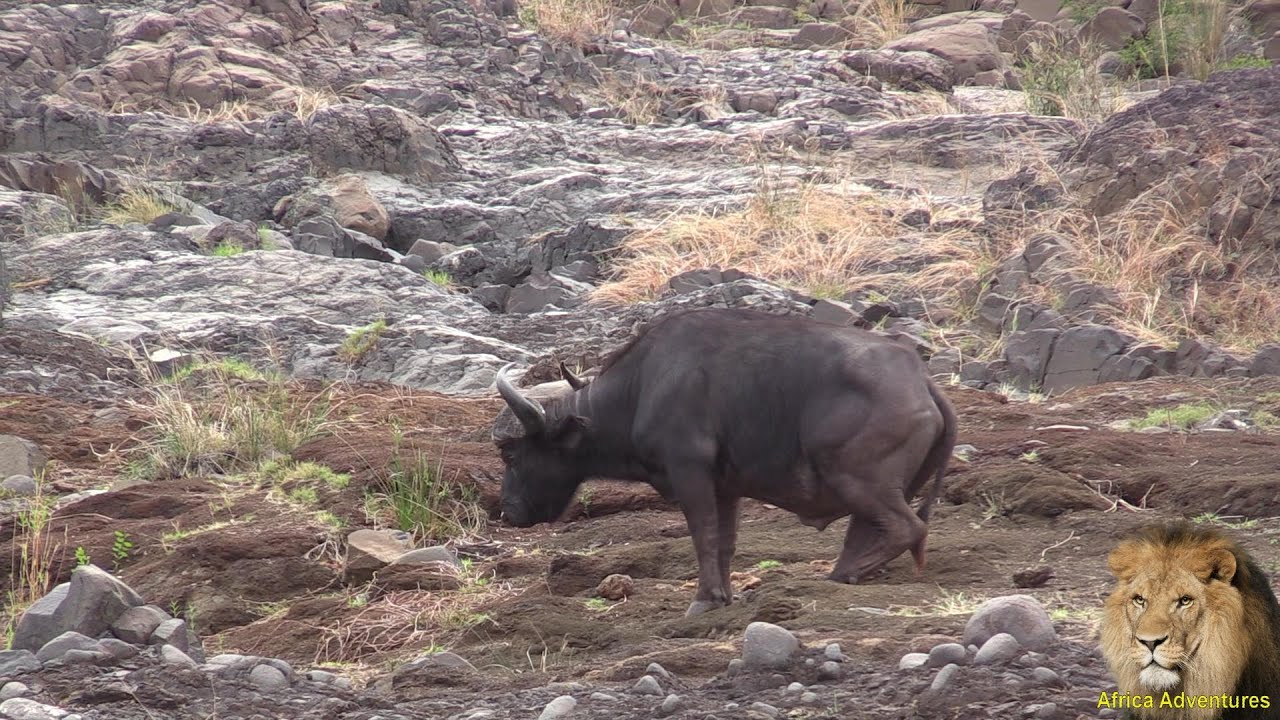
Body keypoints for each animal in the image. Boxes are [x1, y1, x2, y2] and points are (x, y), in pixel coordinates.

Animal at [492, 307, 958, 617]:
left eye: (510, 452)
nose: (509, 511)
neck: (642, 387)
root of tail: (923, 382)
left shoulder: (690, 473)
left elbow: (703, 535)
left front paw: (704, 599)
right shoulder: (727, 489)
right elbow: (726, 542)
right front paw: (725, 596)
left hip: (858, 480)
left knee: (906, 527)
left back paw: (845, 574)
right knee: (872, 530)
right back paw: (845, 572)